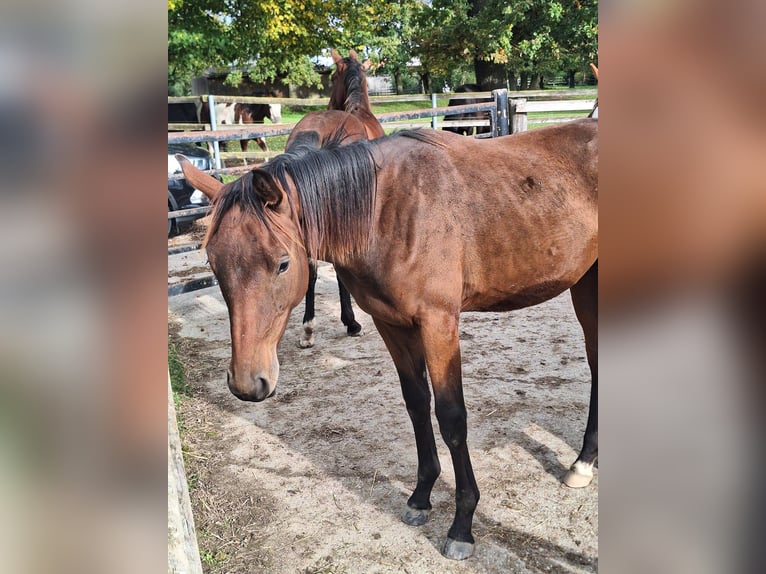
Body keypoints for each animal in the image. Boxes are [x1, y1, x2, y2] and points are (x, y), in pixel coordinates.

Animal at [180, 118, 600, 564]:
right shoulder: (391, 324)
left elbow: (451, 418)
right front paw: (420, 497)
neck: (386, 212)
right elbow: (416, 405)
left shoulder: (439, 323)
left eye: (282, 263)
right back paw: (583, 462)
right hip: (585, 285)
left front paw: (462, 525)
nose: (247, 383)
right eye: (212, 262)